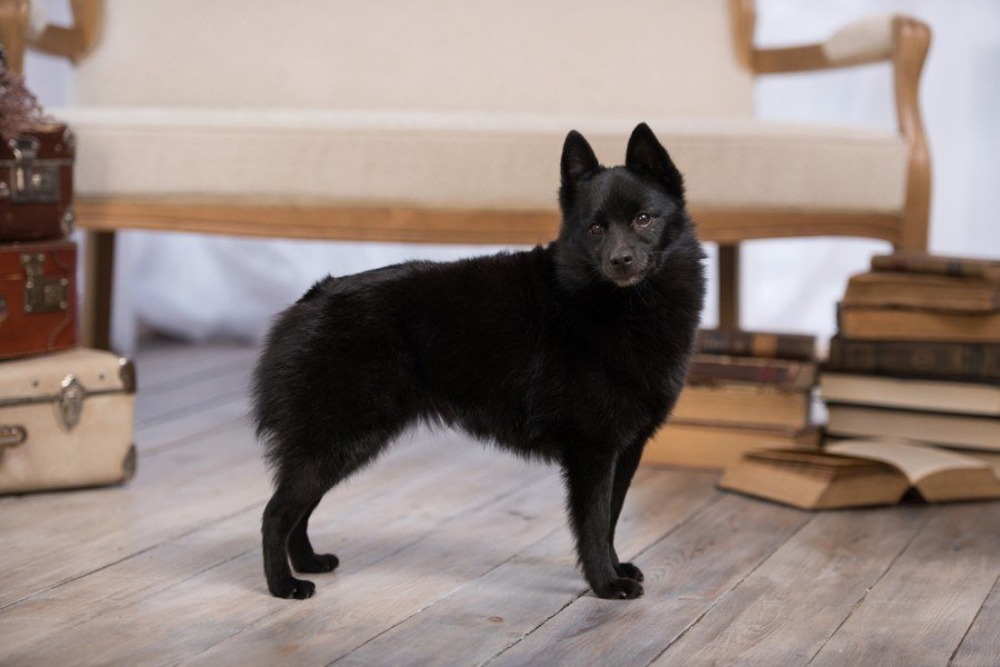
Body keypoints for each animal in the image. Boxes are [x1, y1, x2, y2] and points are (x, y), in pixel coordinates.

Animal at [254, 122, 708, 604]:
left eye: (643, 219)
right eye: (596, 228)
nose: (620, 261)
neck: (620, 307)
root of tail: (313, 295)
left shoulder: (626, 449)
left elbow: (612, 519)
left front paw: (616, 568)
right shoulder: (593, 450)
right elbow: (595, 523)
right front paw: (605, 583)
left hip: (336, 445)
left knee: (299, 510)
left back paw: (308, 562)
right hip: (338, 440)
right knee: (276, 514)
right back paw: (283, 585)